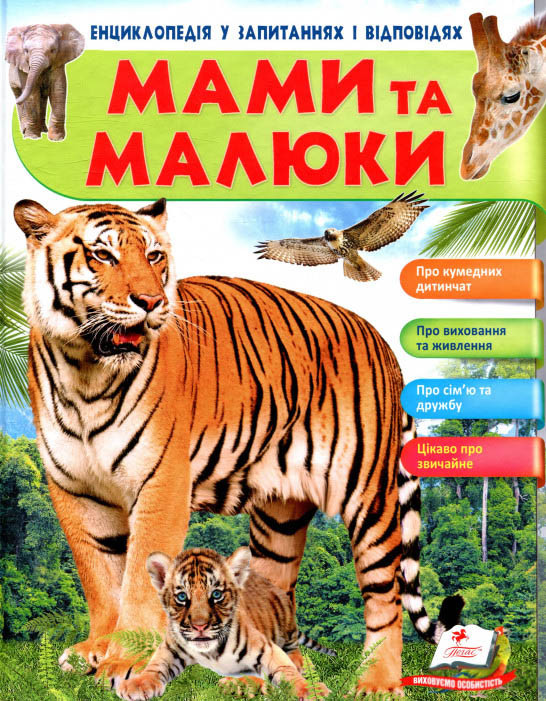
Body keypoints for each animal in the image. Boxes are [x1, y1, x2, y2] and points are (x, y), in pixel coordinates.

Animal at [117, 546, 334, 700]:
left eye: (216, 594)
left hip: (285, 621)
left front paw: (312, 690)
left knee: (293, 650)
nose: (200, 626)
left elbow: (286, 670)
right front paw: (137, 684)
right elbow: (154, 666)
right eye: (182, 597)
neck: (211, 653)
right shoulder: (170, 650)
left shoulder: (266, 648)